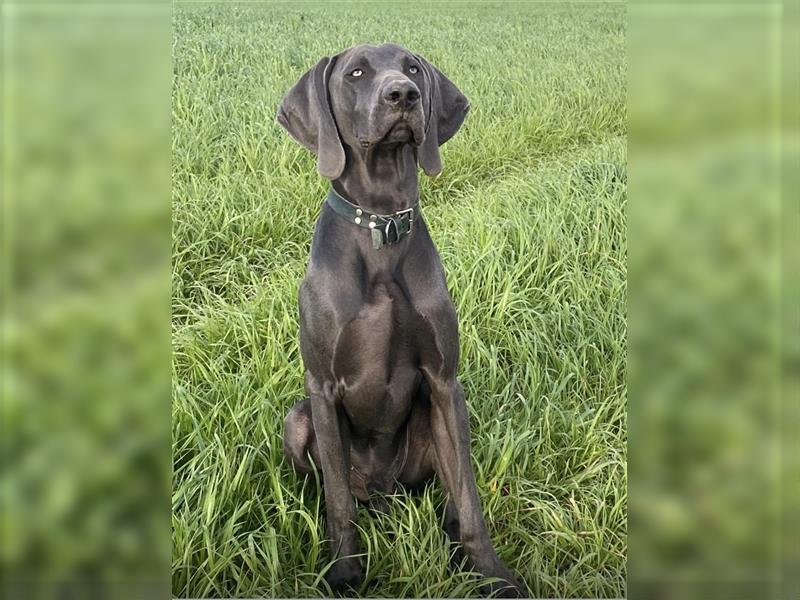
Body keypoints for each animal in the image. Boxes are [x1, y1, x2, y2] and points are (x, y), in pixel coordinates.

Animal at [278, 44, 528, 596]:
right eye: (355, 72)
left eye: (412, 67)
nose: (404, 95)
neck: (383, 223)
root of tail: (383, 491)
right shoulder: (322, 387)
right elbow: (338, 505)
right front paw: (345, 573)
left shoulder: (444, 382)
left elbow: (470, 497)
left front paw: (492, 573)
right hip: (298, 418)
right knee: (333, 488)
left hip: (436, 420)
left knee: (451, 492)